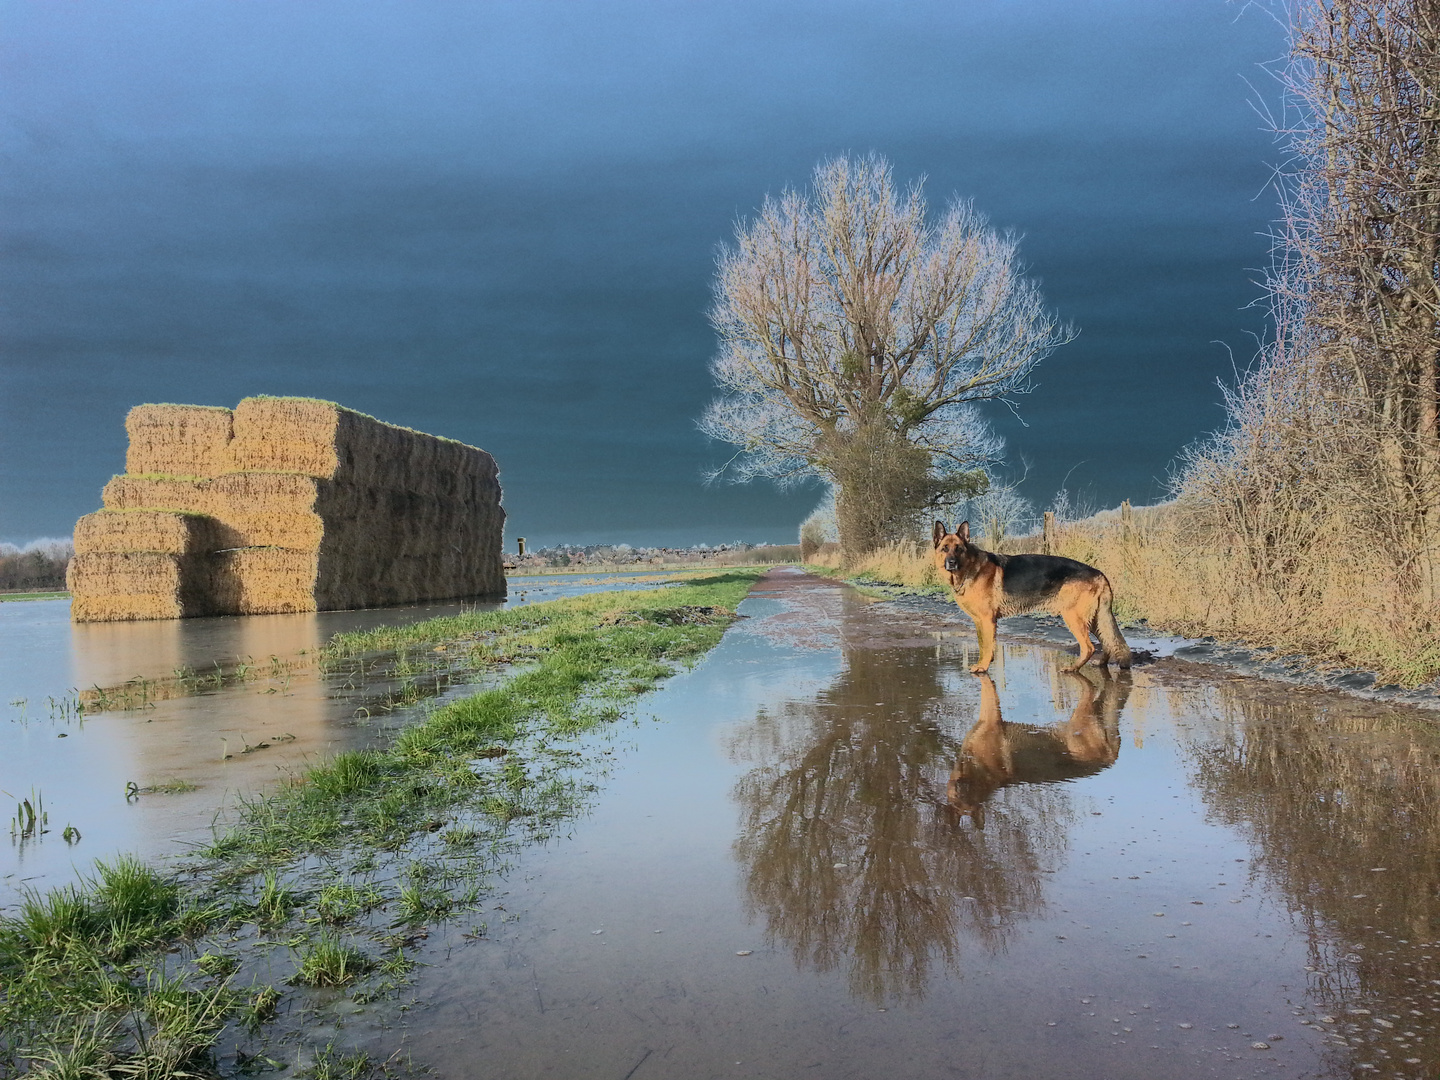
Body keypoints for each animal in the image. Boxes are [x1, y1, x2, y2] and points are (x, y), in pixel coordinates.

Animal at [938, 521, 1128, 673]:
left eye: (959, 549)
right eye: (945, 549)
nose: (951, 563)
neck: (969, 568)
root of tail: (1099, 573)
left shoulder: (987, 621)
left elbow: (987, 646)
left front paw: (983, 667)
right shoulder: (980, 622)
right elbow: (983, 645)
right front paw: (983, 663)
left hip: (1074, 618)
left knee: (1089, 647)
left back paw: (1072, 668)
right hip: (1095, 620)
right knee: (1108, 642)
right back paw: (1101, 665)